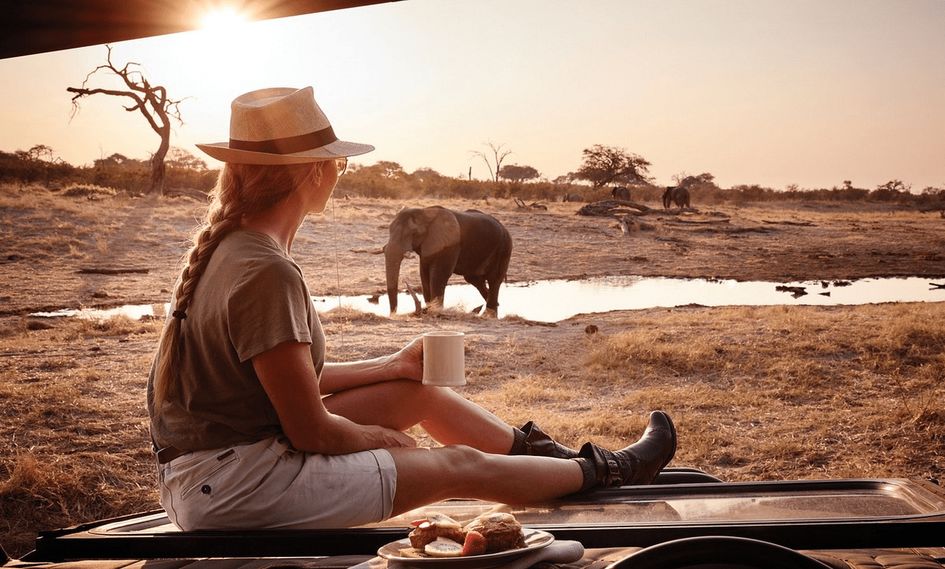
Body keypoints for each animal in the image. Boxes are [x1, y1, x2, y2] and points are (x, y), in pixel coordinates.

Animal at [384, 206, 512, 315]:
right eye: (389, 230)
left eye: (414, 233)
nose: (393, 314)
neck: (425, 213)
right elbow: (424, 275)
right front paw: (430, 310)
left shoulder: (450, 245)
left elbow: (438, 276)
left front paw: (435, 311)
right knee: (474, 280)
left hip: (504, 248)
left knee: (493, 279)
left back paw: (489, 314)